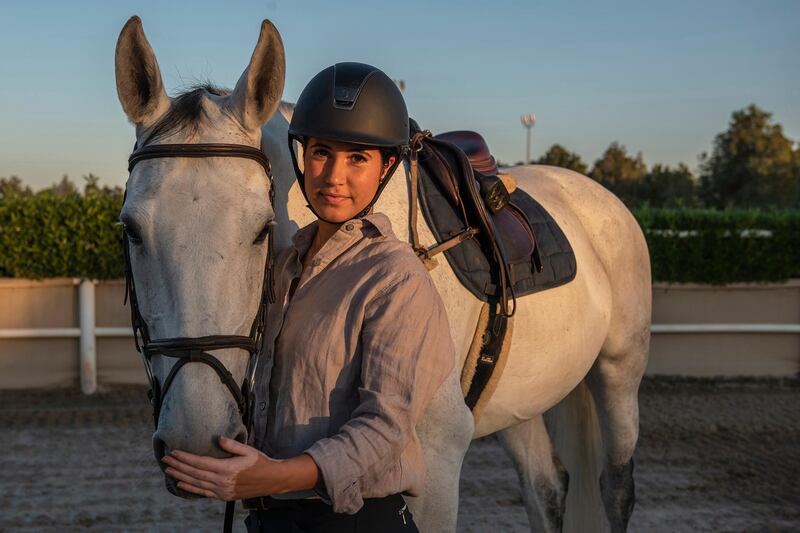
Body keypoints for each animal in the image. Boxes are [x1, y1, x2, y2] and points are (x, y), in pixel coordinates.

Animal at [115, 16, 648, 532]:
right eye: (131, 230)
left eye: (261, 229)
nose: (194, 440)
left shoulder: (435, 460)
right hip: (521, 402)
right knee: (547, 490)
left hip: (619, 373)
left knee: (615, 488)